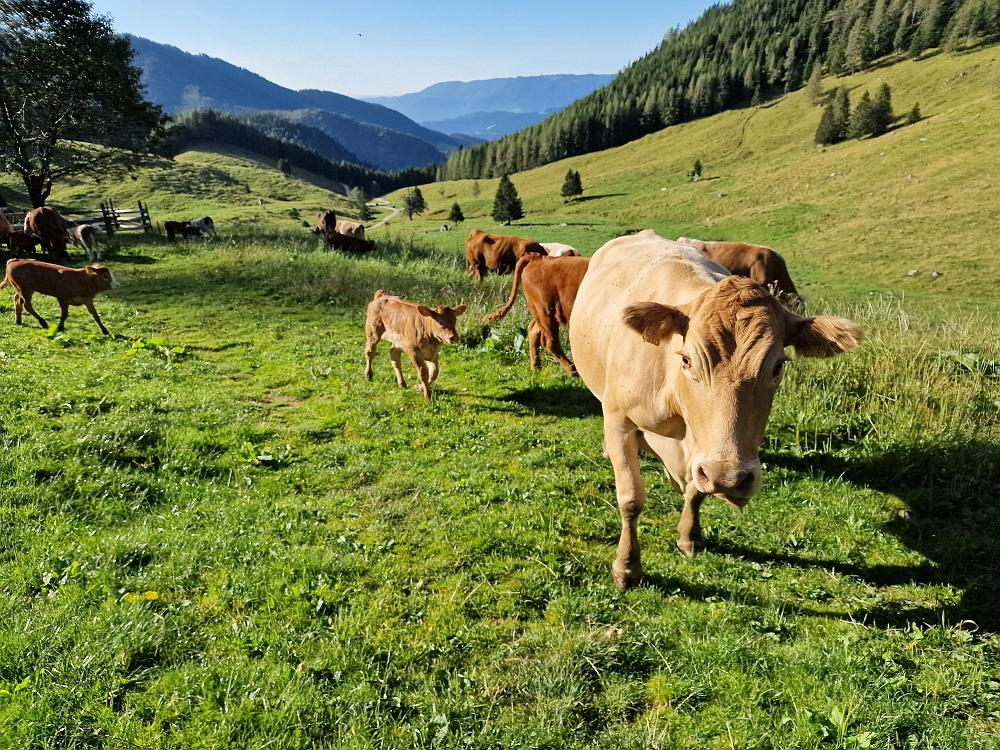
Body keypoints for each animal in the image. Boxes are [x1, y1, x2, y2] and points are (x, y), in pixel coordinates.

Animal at [482, 254, 588, 382]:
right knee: (550, 342)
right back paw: (573, 371)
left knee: (533, 332)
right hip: (546, 311)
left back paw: (536, 367)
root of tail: (538, 257)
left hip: (540, 312)